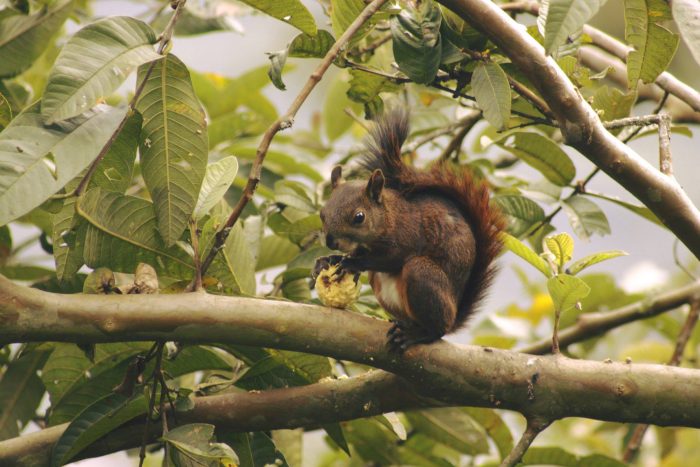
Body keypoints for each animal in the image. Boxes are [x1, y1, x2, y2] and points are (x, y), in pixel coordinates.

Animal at [317, 107, 505, 352]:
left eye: (359, 217)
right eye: (322, 213)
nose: (331, 241)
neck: (389, 217)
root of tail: (453, 314)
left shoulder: (408, 235)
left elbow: (391, 259)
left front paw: (351, 263)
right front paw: (329, 260)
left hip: (422, 274)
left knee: (437, 329)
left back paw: (417, 334)